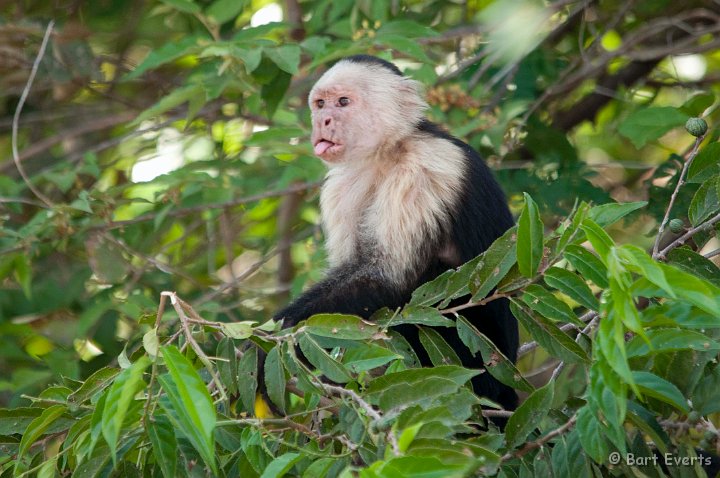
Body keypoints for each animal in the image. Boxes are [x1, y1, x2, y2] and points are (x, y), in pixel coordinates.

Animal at [274, 55, 516, 414]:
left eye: (343, 102)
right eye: (320, 104)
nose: (324, 120)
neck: (385, 154)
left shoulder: (423, 169)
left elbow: (386, 278)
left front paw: (278, 335)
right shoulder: (339, 188)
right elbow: (353, 269)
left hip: (481, 365)